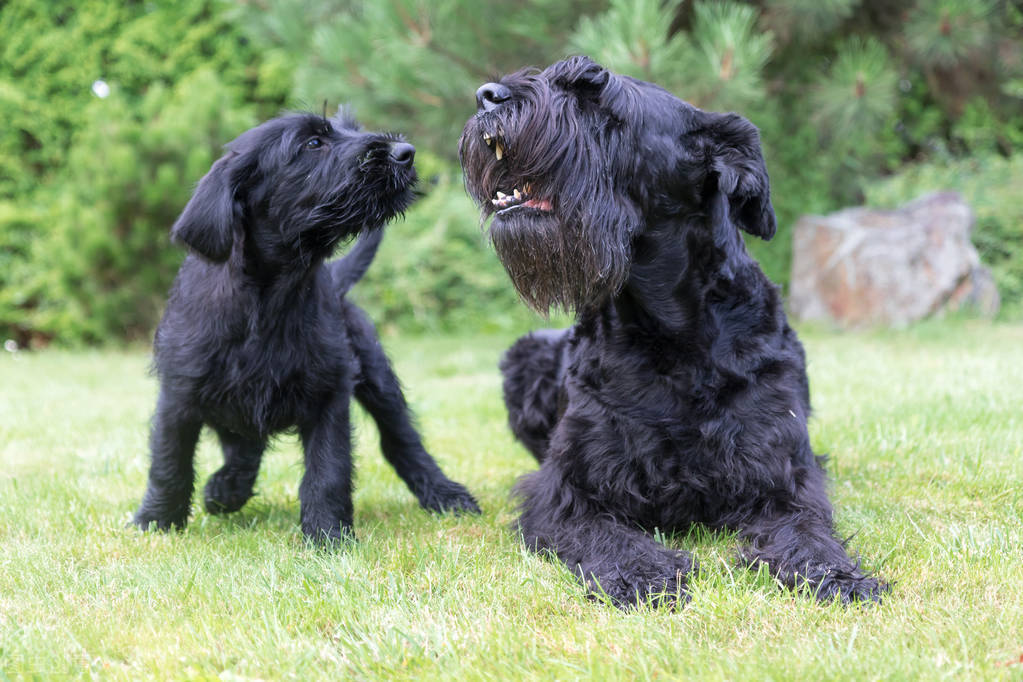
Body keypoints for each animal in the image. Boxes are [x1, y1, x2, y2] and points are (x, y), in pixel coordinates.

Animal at [134, 107, 480, 543]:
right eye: (314, 143)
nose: (405, 152)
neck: (272, 297)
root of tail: (336, 277)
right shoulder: (179, 394)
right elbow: (169, 461)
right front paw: (156, 520)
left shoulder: (328, 394)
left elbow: (328, 470)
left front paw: (328, 536)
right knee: (244, 446)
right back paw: (226, 488)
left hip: (379, 381)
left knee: (402, 441)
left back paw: (445, 494)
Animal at [462, 55, 887, 605]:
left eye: (597, 96)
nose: (486, 95)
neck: (671, 333)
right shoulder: (566, 490)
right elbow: (607, 533)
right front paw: (643, 572)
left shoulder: (783, 473)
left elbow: (805, 527)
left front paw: (835, 573)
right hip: (524, 358)